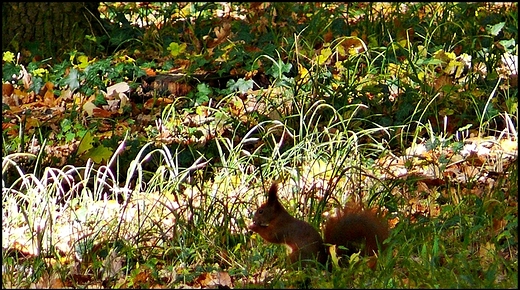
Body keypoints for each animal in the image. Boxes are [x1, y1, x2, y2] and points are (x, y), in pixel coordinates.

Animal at [249, 182, 390, 268]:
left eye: (261, 211)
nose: (253, 219)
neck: (277, 217)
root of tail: (325, 264)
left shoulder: (282, 228)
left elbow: (271, 236)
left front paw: (253, 227)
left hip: (297, 256)